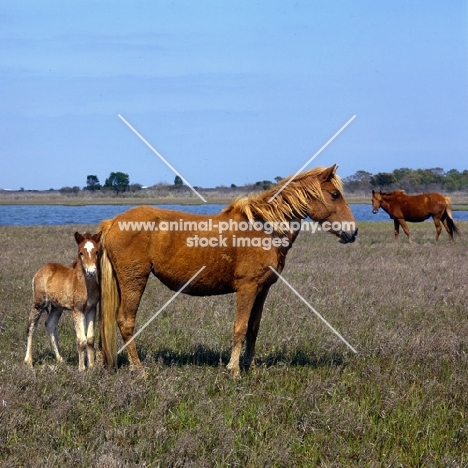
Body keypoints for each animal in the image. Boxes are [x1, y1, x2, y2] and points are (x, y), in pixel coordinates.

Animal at [24, 230, 101, 370]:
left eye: (97, 251)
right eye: (81, 252)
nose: (91, 272)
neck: (85, 286)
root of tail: (41, 270)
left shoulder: (92, 309)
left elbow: (90, 338)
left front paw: (92, 366)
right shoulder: (77, 310)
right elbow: (81, 340)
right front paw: (82, 368)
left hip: (57, 307)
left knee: (50, 324)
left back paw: (60, 359)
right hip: (39, 303)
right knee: (31, 326)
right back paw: (29, 361)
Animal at [98, 165, 358, 376]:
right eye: (335, 195)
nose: (353, 231)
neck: (265, 228)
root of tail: (112, 222)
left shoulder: (262, 290)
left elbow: (253, 328)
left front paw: (250, 367)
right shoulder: (247, 288)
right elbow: (239, 328)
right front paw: (234, 370)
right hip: (134, 280)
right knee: (126, 321)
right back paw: (139, 369)